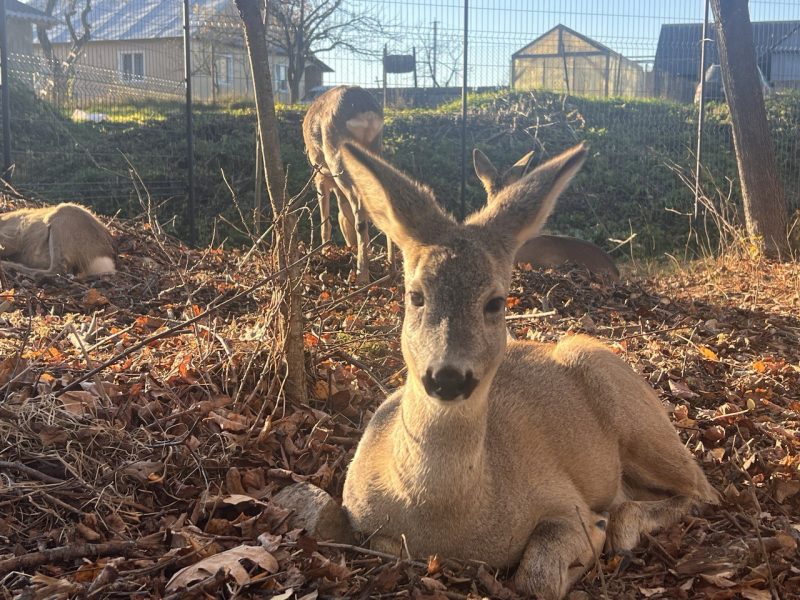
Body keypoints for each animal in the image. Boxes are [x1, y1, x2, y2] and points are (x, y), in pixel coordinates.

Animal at [304, 84, 394, 284]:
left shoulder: (320, 177)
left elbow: (326, 223)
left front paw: (325, 253)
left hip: (337, 156)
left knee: (359, 208)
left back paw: (362, 275)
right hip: (375, 148)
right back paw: (391, 265)